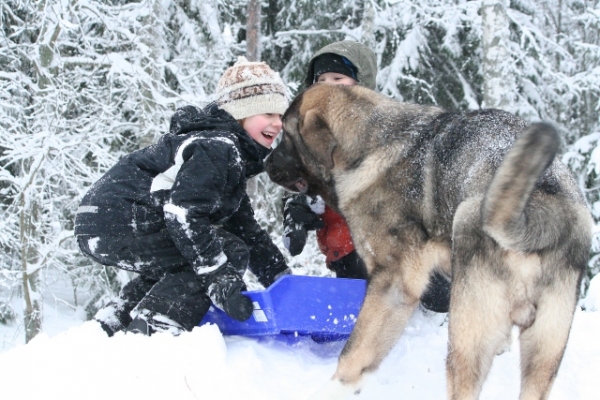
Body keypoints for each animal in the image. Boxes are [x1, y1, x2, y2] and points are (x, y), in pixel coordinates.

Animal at [266, 83, 592, 398]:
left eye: (286, 134)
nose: (266, 160)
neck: (368, 142)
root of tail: (542, 210)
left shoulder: (393, 284)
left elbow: (355, 350)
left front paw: (334, 388)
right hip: (546, 346)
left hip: (466, 331)